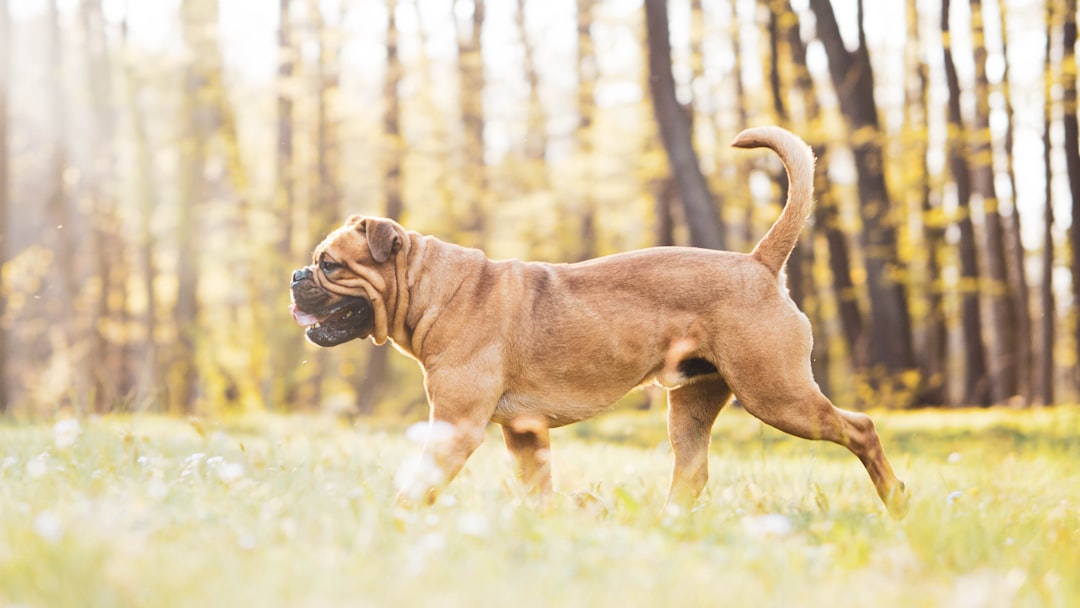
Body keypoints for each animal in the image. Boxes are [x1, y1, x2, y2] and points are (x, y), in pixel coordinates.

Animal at [291, 127, 907, 518]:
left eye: (330, 264)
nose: (297, 275)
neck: (434, 289)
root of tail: (759, 263)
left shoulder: (455, 427)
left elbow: (419, 485)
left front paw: (394, 521)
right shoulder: (524, 433)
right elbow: (537, 489)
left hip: (777, 394)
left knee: (861, 428)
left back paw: (896, 501)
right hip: (691, 407)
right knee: (692, 473)